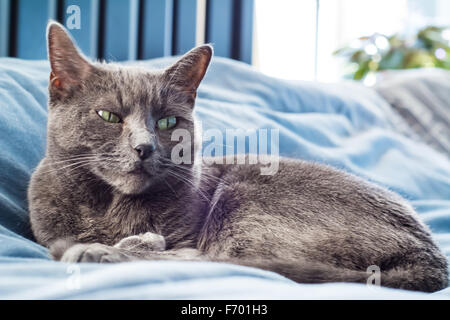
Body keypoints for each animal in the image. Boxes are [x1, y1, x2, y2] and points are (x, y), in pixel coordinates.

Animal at [28, 21, 446, 292]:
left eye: (167, 121)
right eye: (109, 116)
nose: (144, 147)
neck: (112, 209)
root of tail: (431, 257)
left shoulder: (189, 236)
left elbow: (181, 251)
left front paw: (121, 245)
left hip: (245, 199)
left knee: (208, 259)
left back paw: (97, 252)